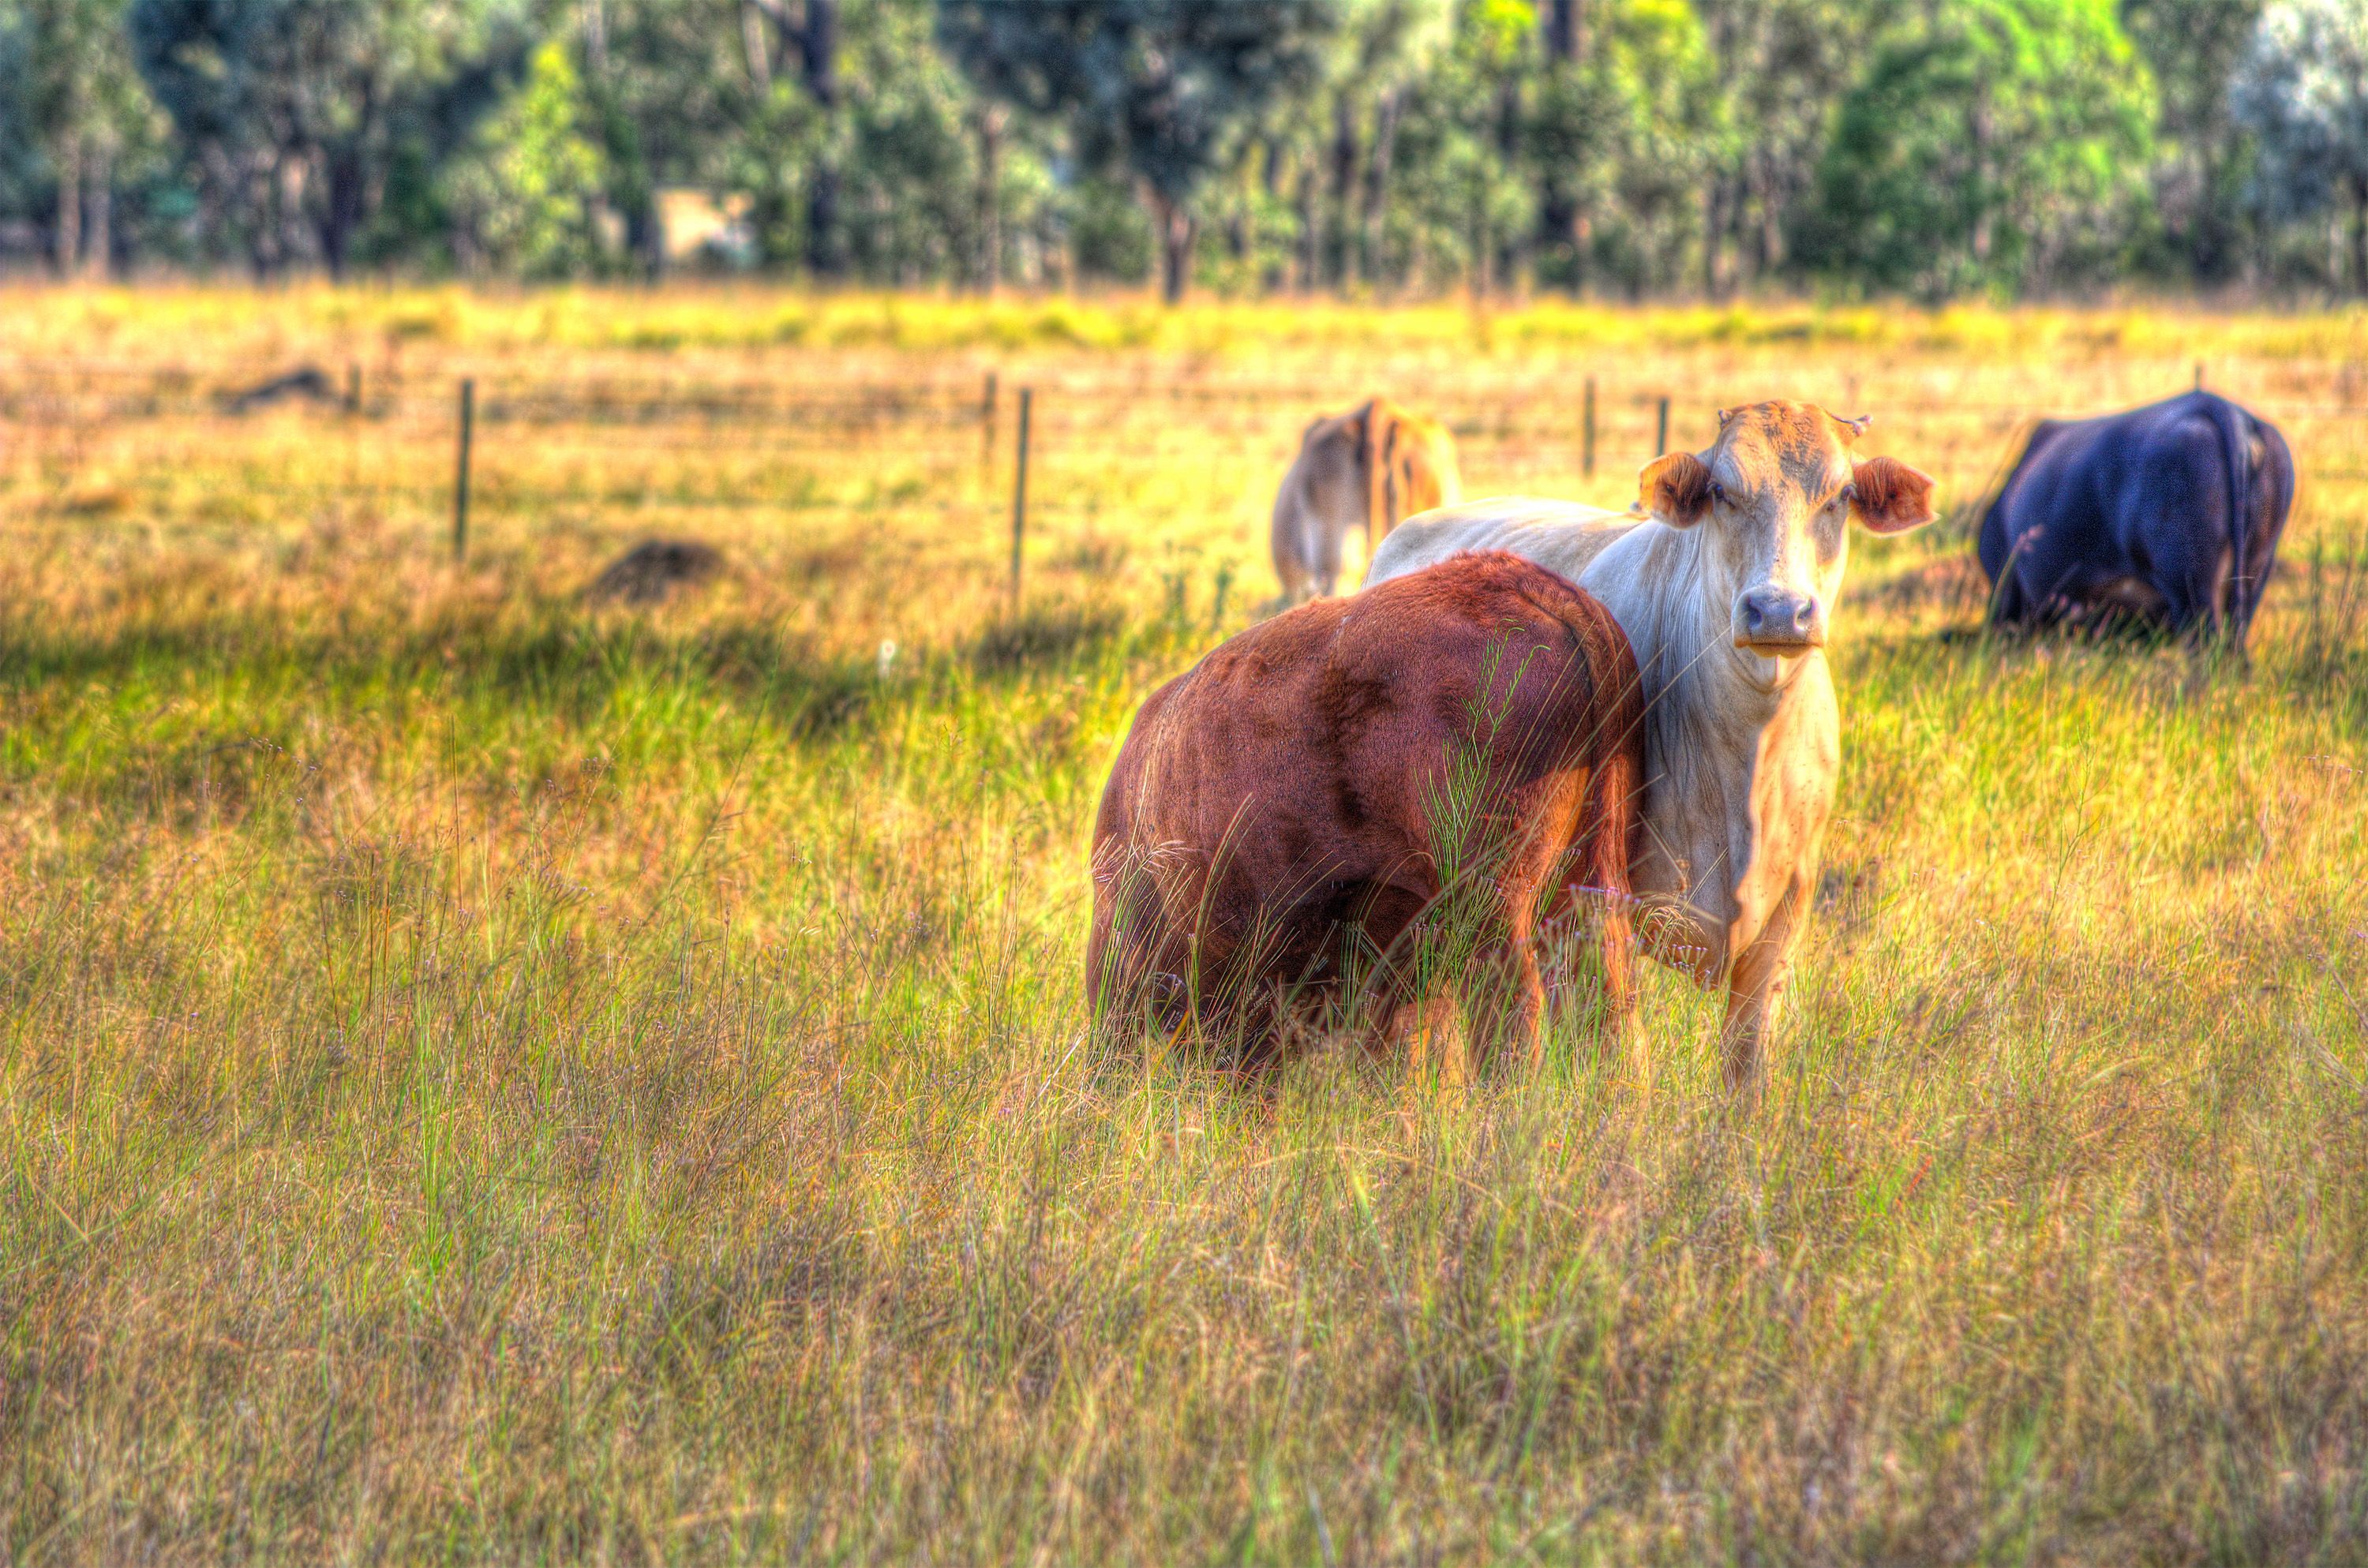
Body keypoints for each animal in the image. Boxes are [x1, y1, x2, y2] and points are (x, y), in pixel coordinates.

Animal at [1365, 401, 1936, 1087]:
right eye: (1722, 491)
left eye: (1842, 496)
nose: (1778, 611)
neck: (1746, 755)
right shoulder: (1595, 906)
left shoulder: (1785, 916)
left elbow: (1746, 1066)